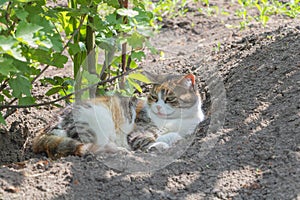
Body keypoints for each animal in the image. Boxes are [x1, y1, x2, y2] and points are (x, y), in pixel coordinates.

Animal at [32, 72, 205, 159]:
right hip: (96, 119)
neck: (177, 121)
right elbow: (146, 140)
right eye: (154, 97)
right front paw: (159, 145)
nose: (157, 106)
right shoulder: (138, 132)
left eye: (169, 99)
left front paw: (174, 138)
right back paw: (119, 151)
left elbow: (174, 135)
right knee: (91, 146)